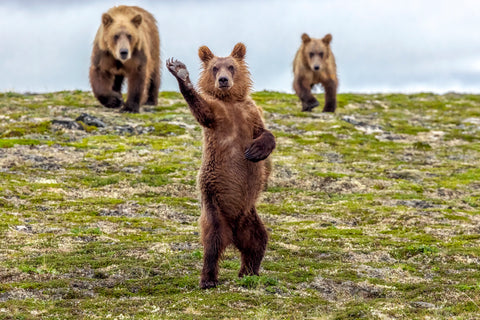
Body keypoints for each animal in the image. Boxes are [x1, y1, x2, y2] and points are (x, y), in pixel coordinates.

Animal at [167, 43, 276, 290]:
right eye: (215, 68)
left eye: (231, 66)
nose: (224, 80)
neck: (229, 101)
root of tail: (234, 230)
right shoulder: (216, 116)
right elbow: (202, 110)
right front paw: (180, 72)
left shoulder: (250, 114)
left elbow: (265, 133)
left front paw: (255, 151)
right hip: (215, 208)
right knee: (212, 244)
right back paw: (208, 279)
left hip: (249, 216)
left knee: (258, 241)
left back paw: (249, 272)